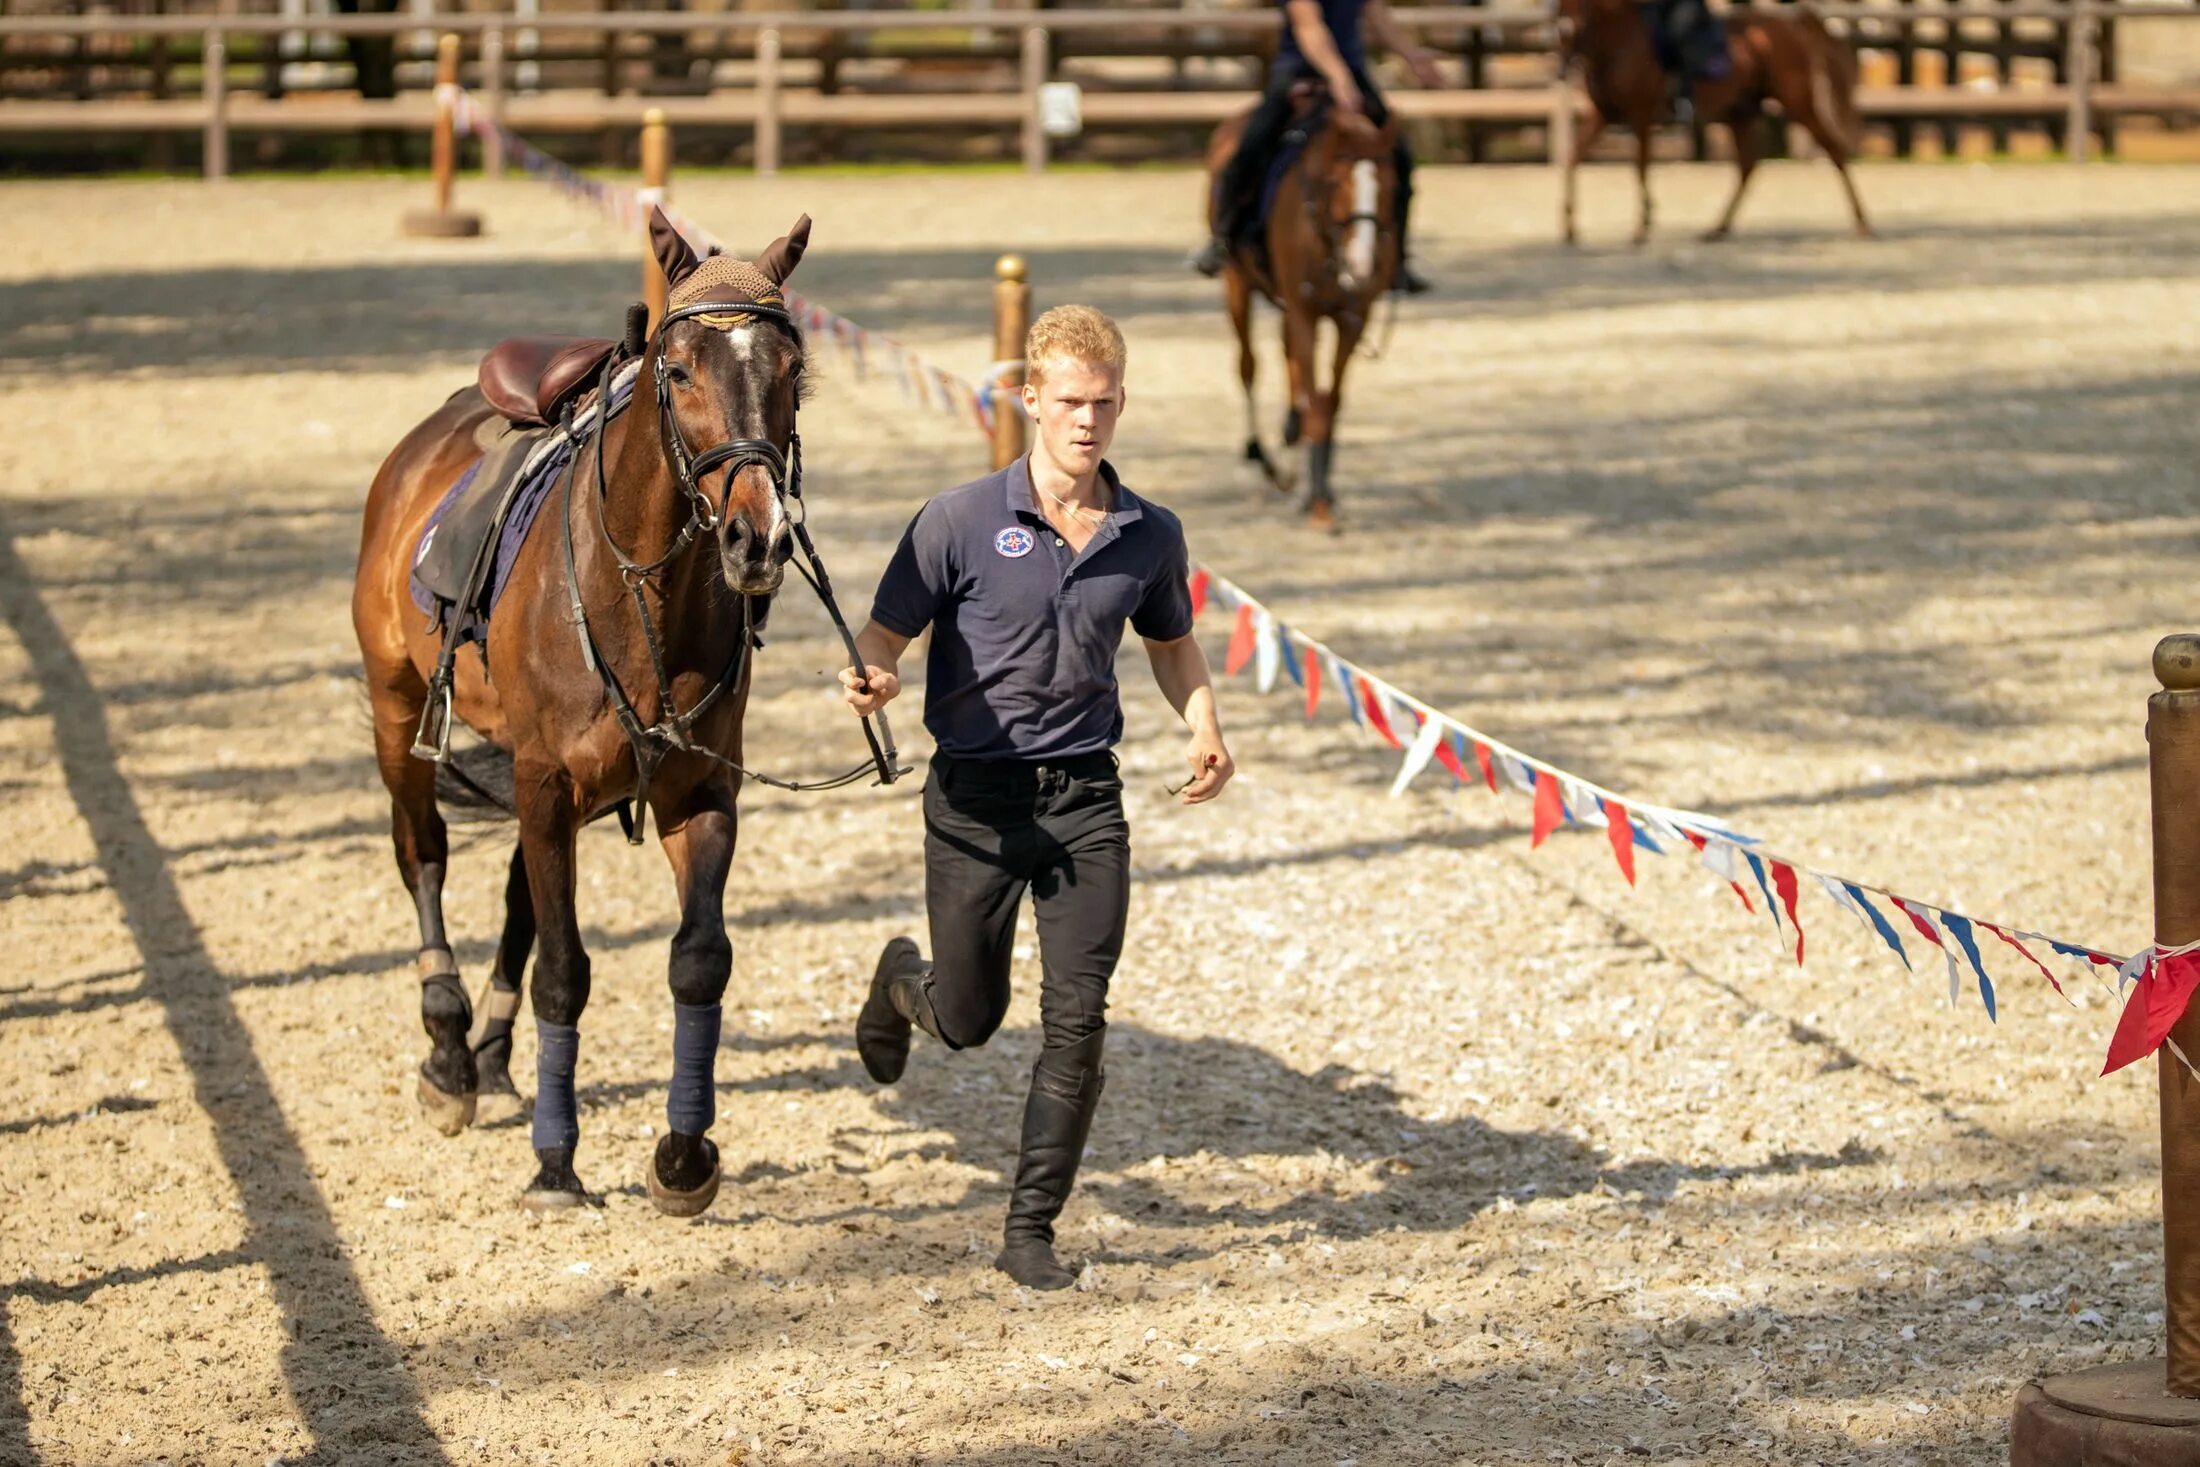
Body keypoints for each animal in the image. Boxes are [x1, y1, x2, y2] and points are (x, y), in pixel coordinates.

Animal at [352, 206, 884, 1214]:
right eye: (679, 371)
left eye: (792, 373)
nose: (758, 539)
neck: (637, 589)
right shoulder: (543, 779)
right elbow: (566, 971)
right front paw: (555, 1161)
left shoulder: (698, 791)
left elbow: (698, 958)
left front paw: (684, 1154)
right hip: (397, 705)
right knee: (423, 854)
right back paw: (448, 1049)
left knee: (518, 890)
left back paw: (492, 1055)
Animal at [1205, 83, 1390, 530]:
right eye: (1335, 183)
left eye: (1388, 185)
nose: (1363, 264)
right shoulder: (1305, 312)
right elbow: (1311, 397)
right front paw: (1316, 501)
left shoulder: (1352, 318)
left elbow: (1328, 401)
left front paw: (1322, 491)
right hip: (1236, 282)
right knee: (1249, 365)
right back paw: (1262, 459)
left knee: (1289, 366)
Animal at [1548, 0, 1874, 246]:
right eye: (1556, 11)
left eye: (1578, 12)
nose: (1562, 62)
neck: (1619, 41)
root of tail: (1789, 23)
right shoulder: (1602, 114)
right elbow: (1572, 159)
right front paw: (1569, 226)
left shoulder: (1641, 113)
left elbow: (1639, 166)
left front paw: (1642, 225)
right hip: (1740, 112)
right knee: (1747, 166)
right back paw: (1717, 228)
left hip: (1797, 103)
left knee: (1834, 152)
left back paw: (1862, 223)